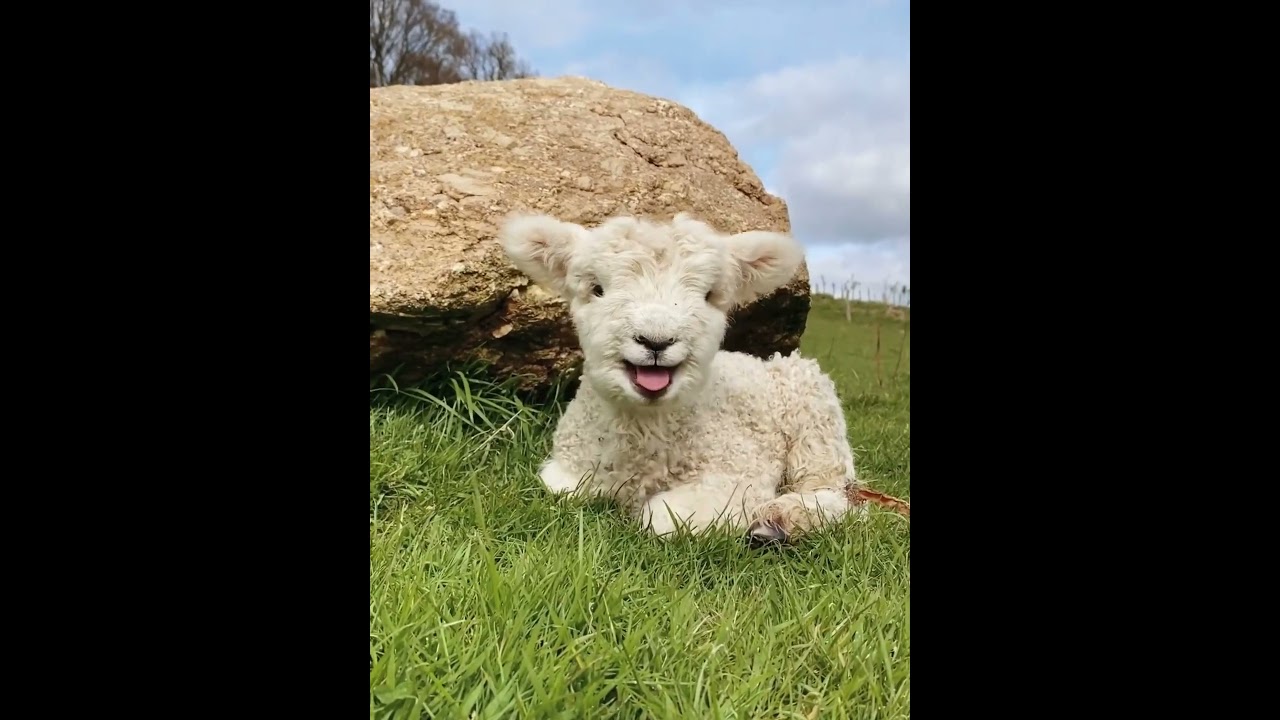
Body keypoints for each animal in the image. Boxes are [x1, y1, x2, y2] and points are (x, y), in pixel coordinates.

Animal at [498, 211, 865, 546]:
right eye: (597, 289)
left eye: (709, 295)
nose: (656, 340)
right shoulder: (568, 472)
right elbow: (563, 489)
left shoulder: (741, 473)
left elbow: (661, 517)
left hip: (815, 422)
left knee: (837, 495)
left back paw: (780, 519)